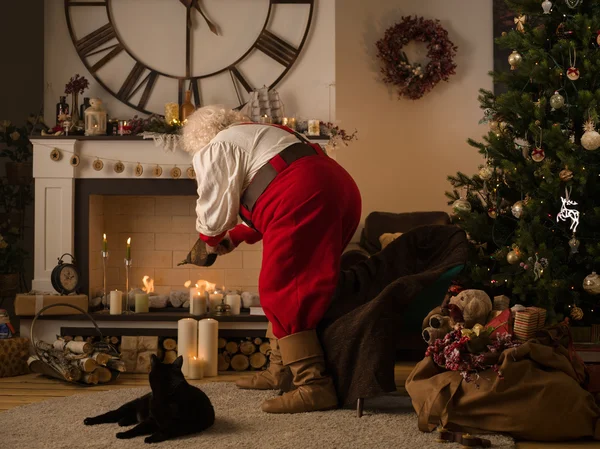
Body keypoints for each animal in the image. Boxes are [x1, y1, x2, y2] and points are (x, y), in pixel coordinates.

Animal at [83, 356, 216, 442]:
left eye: (174, 377)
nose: (175, 383)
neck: (163, 399)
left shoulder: (180, 423)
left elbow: (165, 431)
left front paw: (151, 438)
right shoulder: (151, 419)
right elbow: (137, 428)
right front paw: (124, 434)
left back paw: (123, 421)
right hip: (128, 407)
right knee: (109, 415)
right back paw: (89, 420)